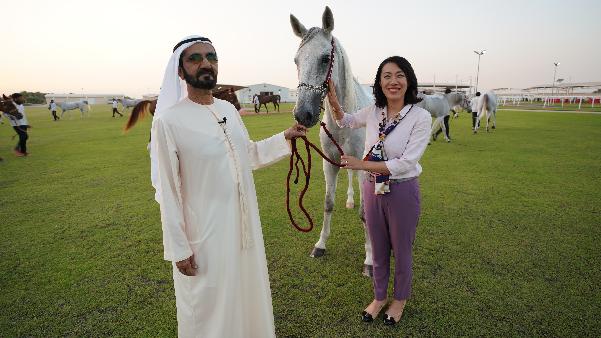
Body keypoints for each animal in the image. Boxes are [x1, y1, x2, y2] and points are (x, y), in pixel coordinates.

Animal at [290, 6, 376, 276]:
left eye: (325, 58)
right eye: (296, 60)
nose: (303, 114)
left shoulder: (363, 164)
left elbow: (365, 213)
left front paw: (370, 259)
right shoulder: (329, 162)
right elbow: (328, 203)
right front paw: (320, 245)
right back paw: (349, 200)